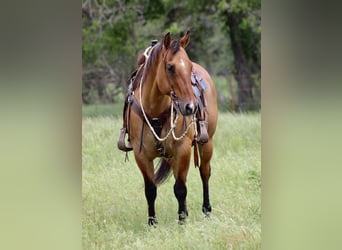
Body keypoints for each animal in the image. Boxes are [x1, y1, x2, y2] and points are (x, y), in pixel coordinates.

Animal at [119, 31, 218, 225]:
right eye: (170, 67)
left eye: (189, 66)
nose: (191, 107)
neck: (156, 111)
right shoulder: (141, 156)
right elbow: (150, 190)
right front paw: (152, 223)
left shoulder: (183, 150)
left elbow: (180, 188)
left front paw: (182, 222)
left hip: (207, 143)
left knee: (205, 173)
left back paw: (207, 211)